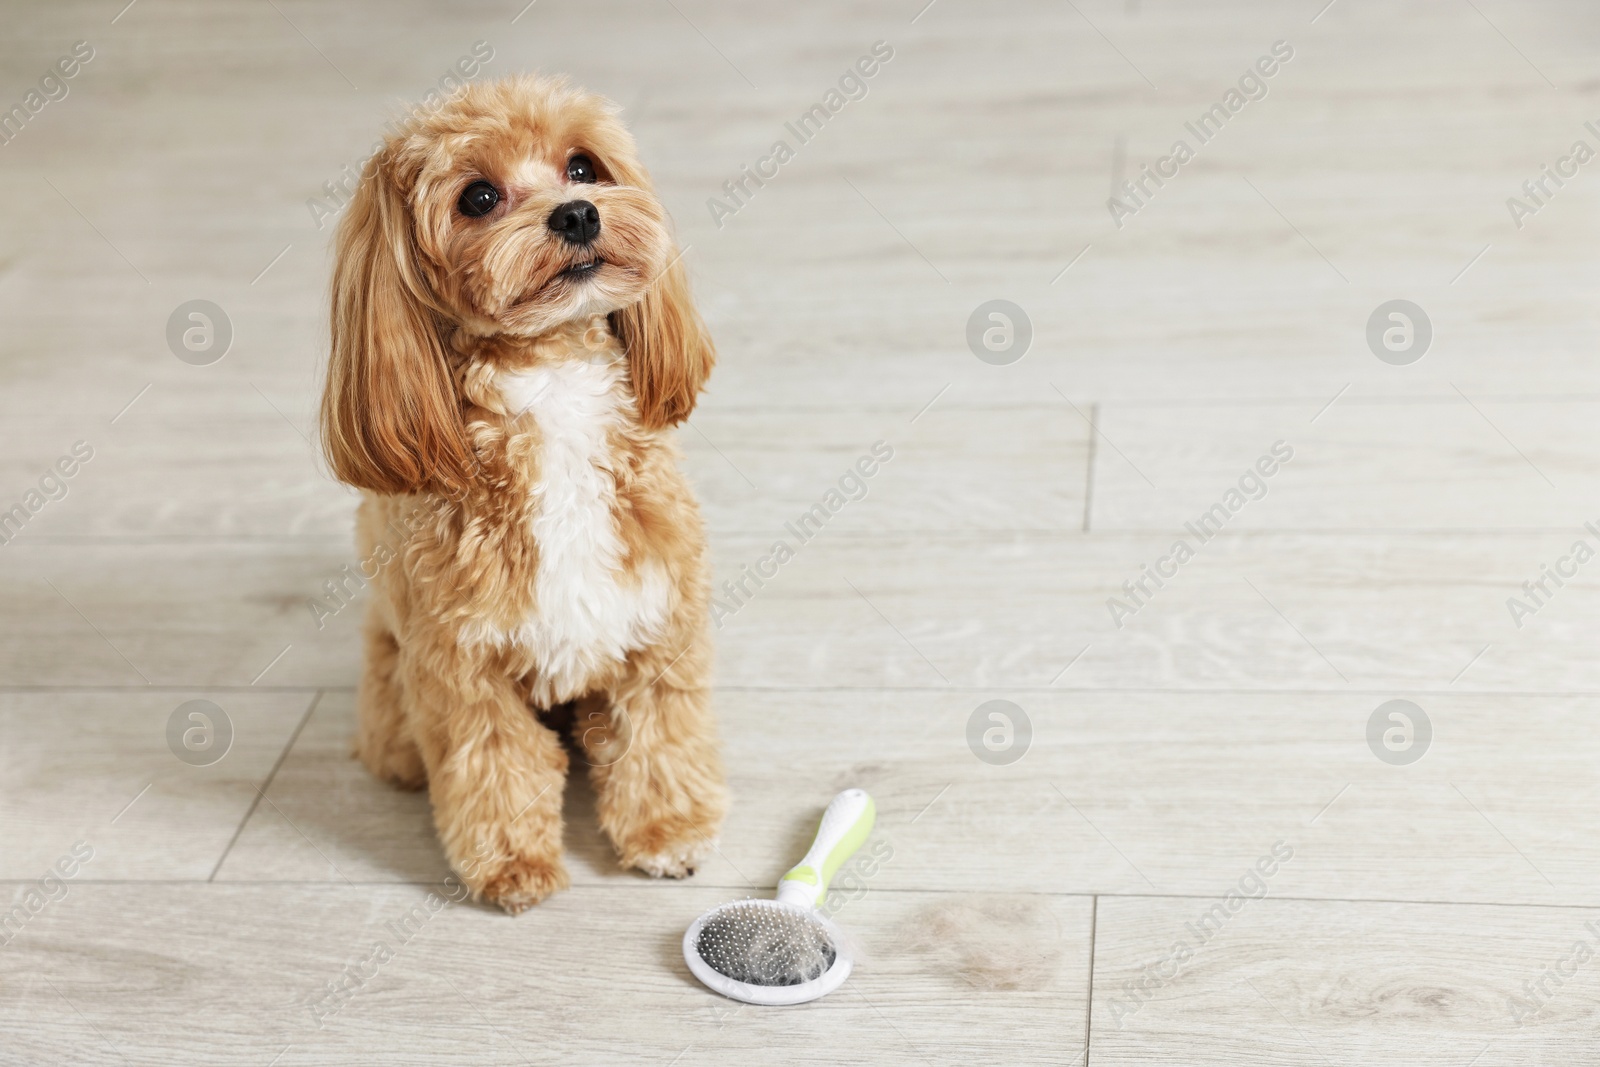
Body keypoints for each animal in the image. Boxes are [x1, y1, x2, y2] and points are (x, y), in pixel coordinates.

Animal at [316, 75, 726, 915]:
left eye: (581, 167)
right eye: (477, 197)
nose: (577, 214)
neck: (554, 387)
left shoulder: (659, 622)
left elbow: (659, 731)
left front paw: (668, 831)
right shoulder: (460, 668)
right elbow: (496, 761)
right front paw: (512, 866)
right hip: (393, 690)